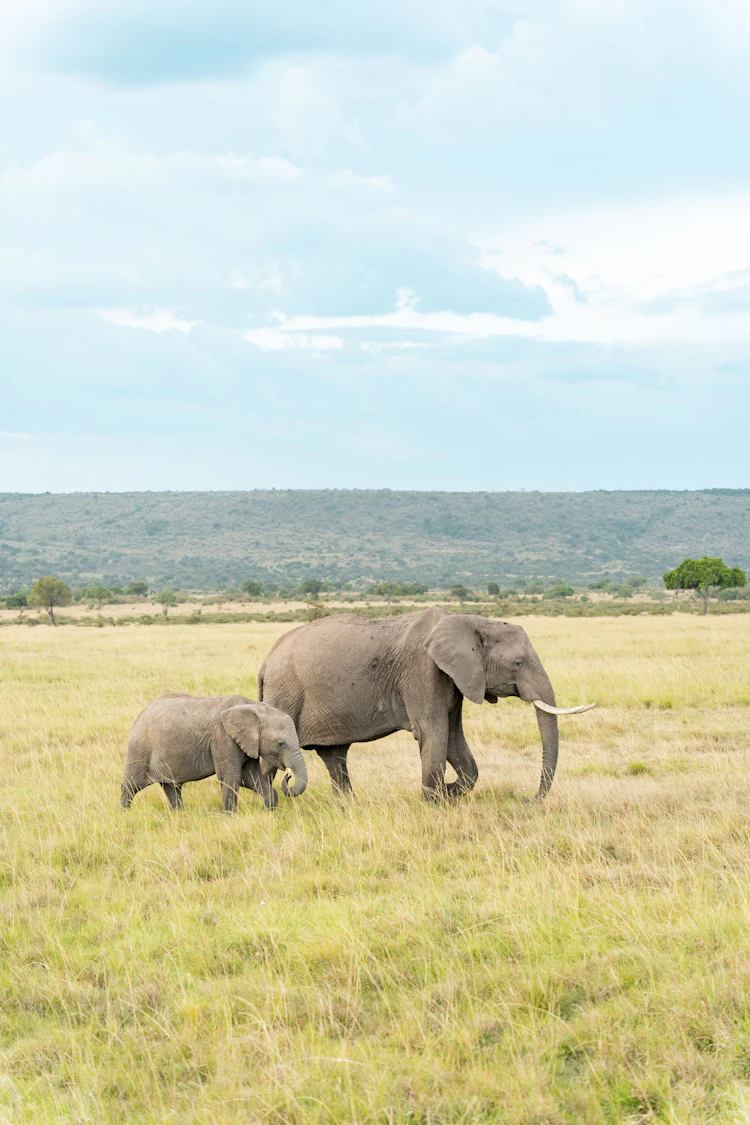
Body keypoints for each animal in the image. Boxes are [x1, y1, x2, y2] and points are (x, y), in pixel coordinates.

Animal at [118, 688, 305, 814]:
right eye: (281, 744)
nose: (288, 775)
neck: (254, 707)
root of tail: (140, 714)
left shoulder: (247, 743)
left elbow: (251, 776)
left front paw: (269, 810)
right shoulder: (223, 738)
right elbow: (231, 777)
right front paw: (229, 817)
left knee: (171, 787)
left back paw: (179, 815)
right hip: (140, 748)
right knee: (131, 786)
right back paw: (124, 814)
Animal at [258, 612, 593, 805]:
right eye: (519, 663)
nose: (527, 800)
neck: (473, 620)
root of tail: (265, 663)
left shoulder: (455, 677)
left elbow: (454, 738)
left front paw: (449, 792)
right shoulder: (422, 669)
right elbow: (434, 731)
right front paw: (435, 801)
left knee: (335, 757)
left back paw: (347, 806)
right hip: (284, 694)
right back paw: (268, 804)